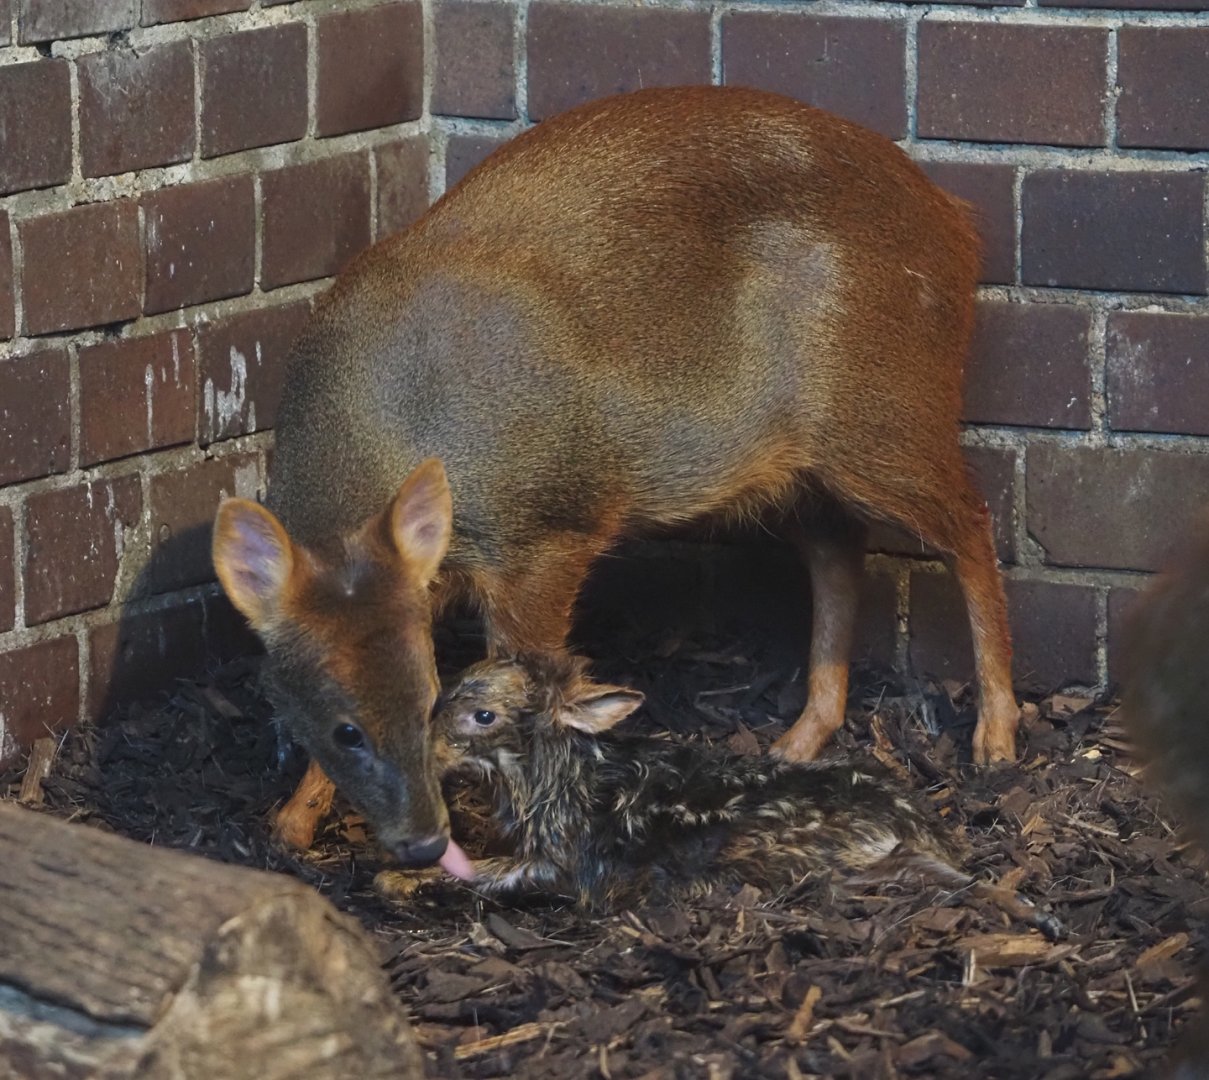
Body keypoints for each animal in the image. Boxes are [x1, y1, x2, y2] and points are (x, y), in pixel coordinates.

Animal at [211, 85, 1019, 878]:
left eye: (429, 699)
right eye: (342, 727)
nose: (422, 841)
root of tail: (957, 224)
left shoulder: (550, 530)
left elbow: (534, 673)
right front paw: (291, 824)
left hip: (881, 415)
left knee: (970, 520)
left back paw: (996, 737)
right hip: (794, 466)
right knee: (839, 552)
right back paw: (799, 737)